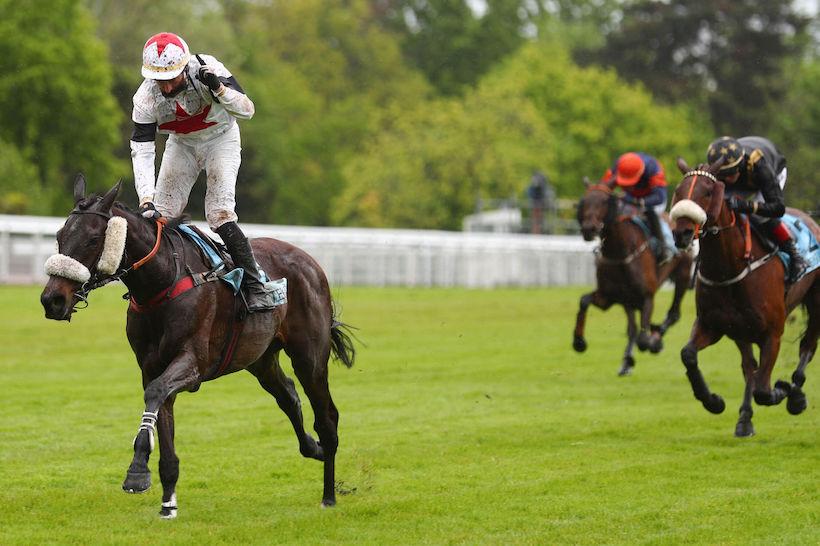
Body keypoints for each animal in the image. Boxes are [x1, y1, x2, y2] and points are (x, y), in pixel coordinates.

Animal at [40, 175, 356, 517]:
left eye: (93, 238)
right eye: (60, 236)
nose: (52, 299)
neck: (162, 283)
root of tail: (310, 261)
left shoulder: (193, 362)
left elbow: (155, 395)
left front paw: (137, 471)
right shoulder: (152, 367)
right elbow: (161, 419)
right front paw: (167, 503)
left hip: (309, 357)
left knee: (327, 417)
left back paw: (329, 493)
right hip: (260, 359)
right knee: (288, 395)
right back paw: (313, 448)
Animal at [573, 180, 693, 376]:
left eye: (604, 201)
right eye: (584, 201)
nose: (589, 229)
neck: (619, 252)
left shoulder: (647, 296)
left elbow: (643, 339)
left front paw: (653, 342)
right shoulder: (611, 297)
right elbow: (584, 300)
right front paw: (579, 342)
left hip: (683, 273)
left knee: (674, 314)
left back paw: (655, 339)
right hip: (629, 300)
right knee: (633, 328)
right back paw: (627, 361)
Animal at [669, 159, 819, 437]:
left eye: (708, 191)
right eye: (678, 190)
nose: (681, 233)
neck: (730, 267)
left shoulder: (773, 333)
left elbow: (764, 389)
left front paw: (785, 390)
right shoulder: (712, 324)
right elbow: (688, 354)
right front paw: (713, 401)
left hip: (816, 303)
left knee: (807, 347)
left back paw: (796, 395)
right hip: (741, 330)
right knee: (749, 366)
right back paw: (745, 419)